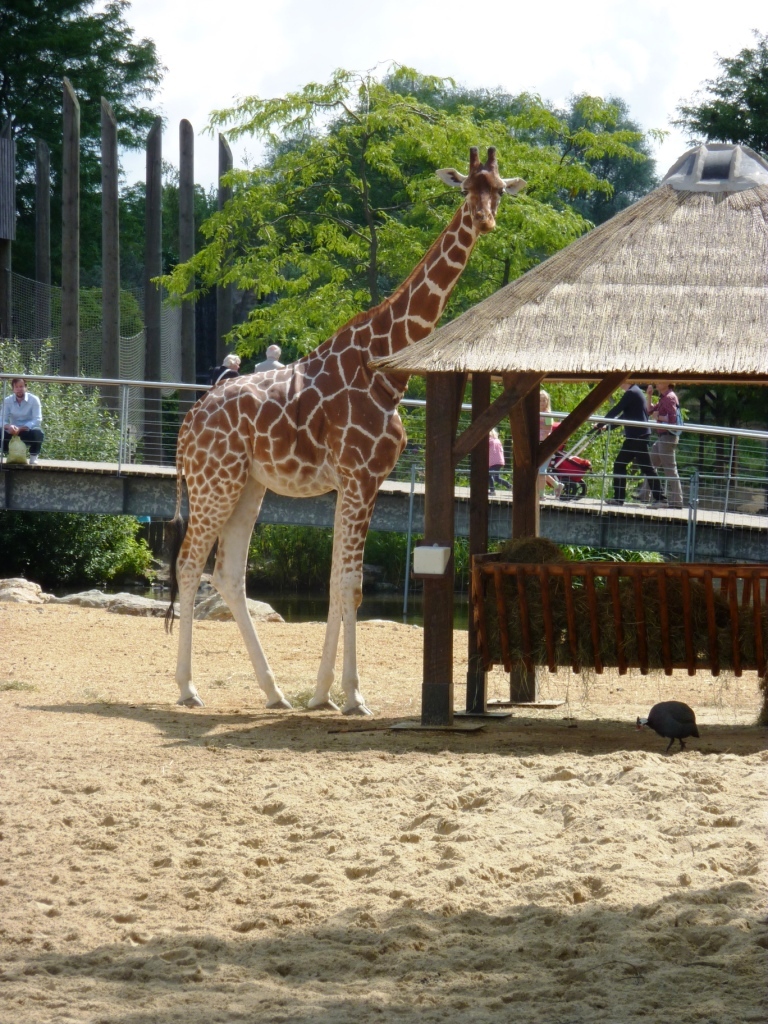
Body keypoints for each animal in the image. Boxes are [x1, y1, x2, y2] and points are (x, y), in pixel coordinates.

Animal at [166, 147, 525, 714]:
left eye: (500, 190)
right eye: (468, 188)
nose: (486, 221)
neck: (387, 367)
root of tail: (187, 425)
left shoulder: (361, 481)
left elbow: (339, 582)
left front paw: (321, 695)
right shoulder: (357, 477)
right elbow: (351, 586)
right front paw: (352, 695)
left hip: (248, 485)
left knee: (227, 573)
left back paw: (274, 693)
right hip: (213, 483)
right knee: (187, 564)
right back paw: (187, 688)